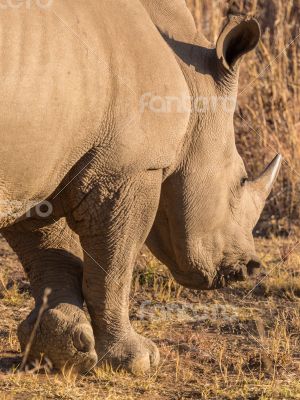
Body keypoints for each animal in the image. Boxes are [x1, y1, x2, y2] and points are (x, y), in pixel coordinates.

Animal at [0, 0, 282, 376]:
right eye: (239, 180)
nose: (251, 269)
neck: (191, 81)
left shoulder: (38, 166)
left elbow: (49, 253)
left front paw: (60, 353)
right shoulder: (129, 169)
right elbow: (114, 266)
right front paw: (137, 360)